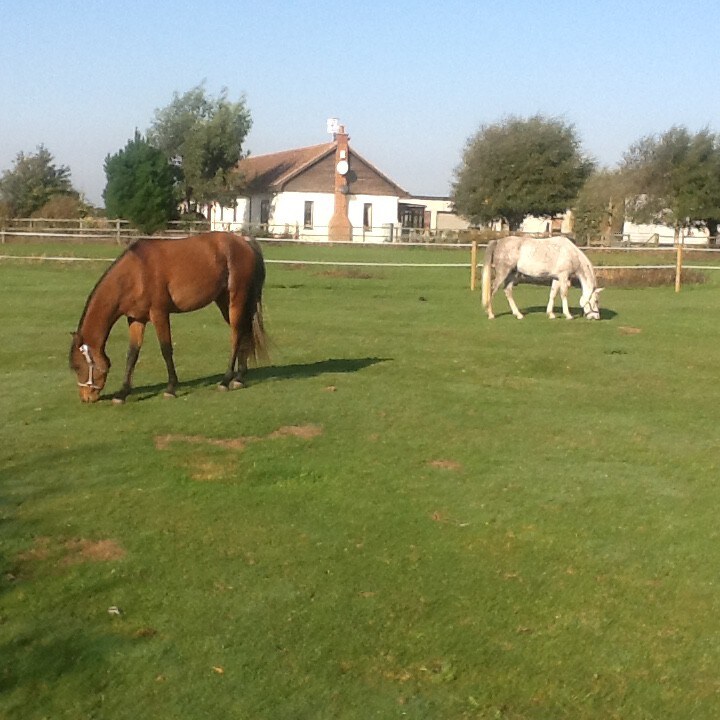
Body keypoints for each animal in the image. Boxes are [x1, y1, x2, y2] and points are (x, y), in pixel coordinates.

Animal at [69, 236, 268, 404]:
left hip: (236, 299)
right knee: (244, 332)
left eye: (78, 366)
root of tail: (245, 242)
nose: (86, 398)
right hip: (225, 301)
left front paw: (171, 388)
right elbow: (132, 354)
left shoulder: (160, 314)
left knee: (236, 336)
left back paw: (226, 380)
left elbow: (166, 350)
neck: (136, 272)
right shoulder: (136, 319)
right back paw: (240, 377)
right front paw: (122, 393)